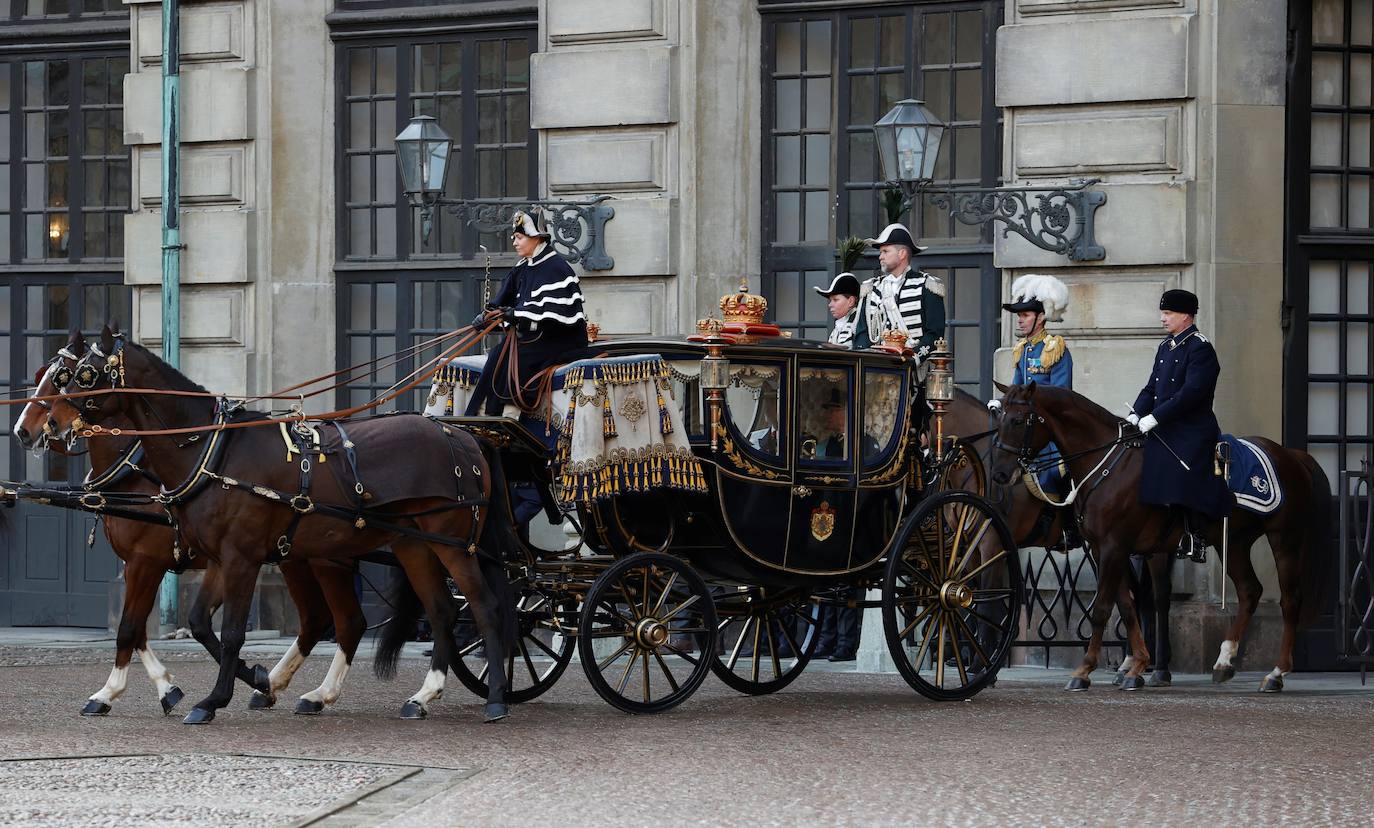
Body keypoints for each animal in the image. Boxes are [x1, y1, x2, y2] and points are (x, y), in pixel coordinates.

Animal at [48, 326, 516, 725]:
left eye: (84, 374)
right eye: (60, 376)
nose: (51, 422)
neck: (212, 450)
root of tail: (463, 436)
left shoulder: (228, 558)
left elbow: (227, 631)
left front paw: (211, 699)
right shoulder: (218, 558)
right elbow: (197, 623)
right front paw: (252, 679)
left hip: (451, 545)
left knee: (484, 606)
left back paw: (496, 697)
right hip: (408, 547)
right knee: (432, 611)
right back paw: (416, 696)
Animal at [989, 384, 1330, 692]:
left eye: (1018, 420)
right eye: (1000, 417)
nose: (1000, 475)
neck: (1108, 466)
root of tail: (1290, 454)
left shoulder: (1114, 546)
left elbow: (1103, 608)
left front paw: (1085, 670)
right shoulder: (1103, 549)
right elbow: (1126, 606)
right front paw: (1136, 666)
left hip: (1284, 538)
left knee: (1289, 600)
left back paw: (1276, 673)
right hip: (1233, 542)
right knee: (1249, 591)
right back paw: (1224, 662)